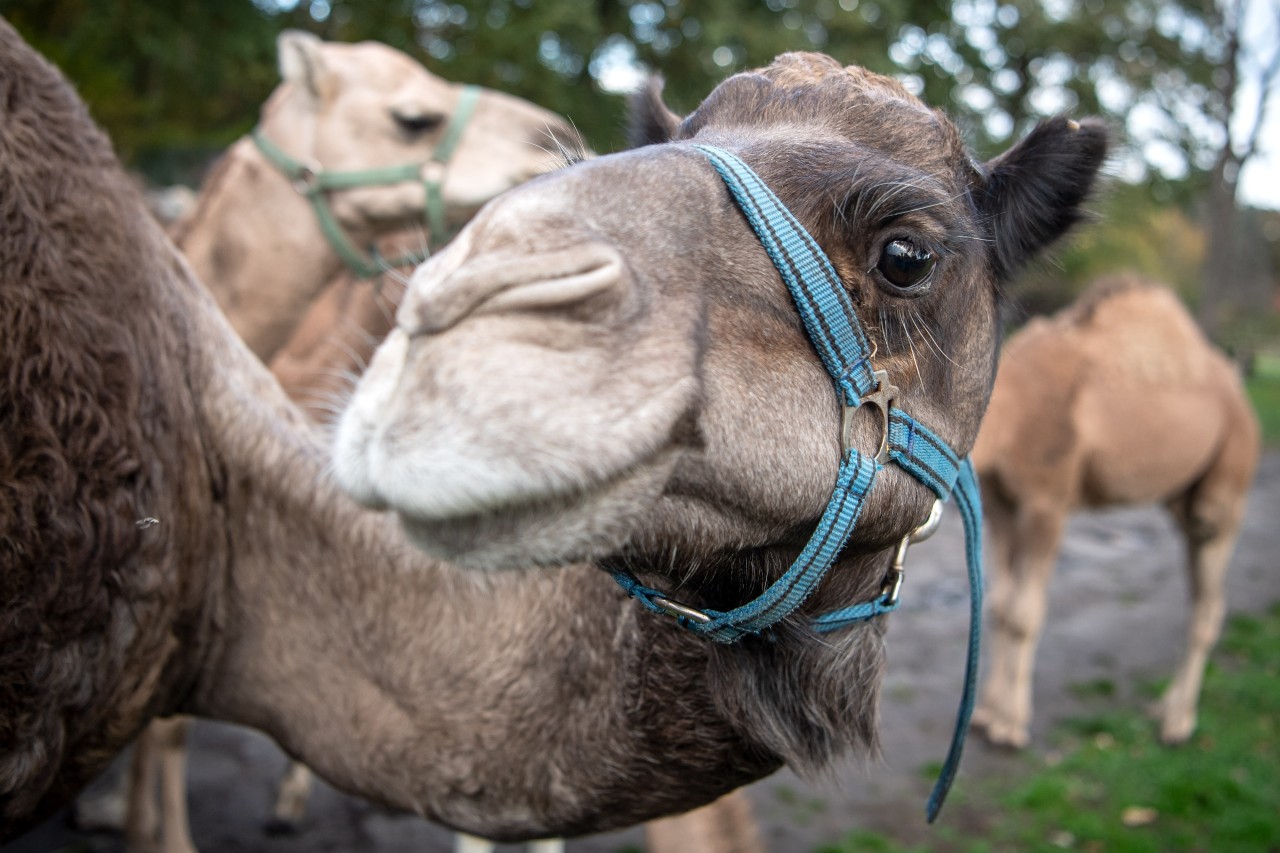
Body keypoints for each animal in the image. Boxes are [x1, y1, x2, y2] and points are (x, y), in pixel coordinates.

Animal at [967, 275, 1259, 747]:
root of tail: (1236, 385)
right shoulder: (999, 505)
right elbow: (999, 606)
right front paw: (983, 715)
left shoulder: (1047, 501)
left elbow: (1024, 614)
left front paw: (1011, 725)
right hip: (1183, 493)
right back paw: (1166, 707)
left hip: (1230, 475)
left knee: (1209, 596)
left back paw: (1177, 722)